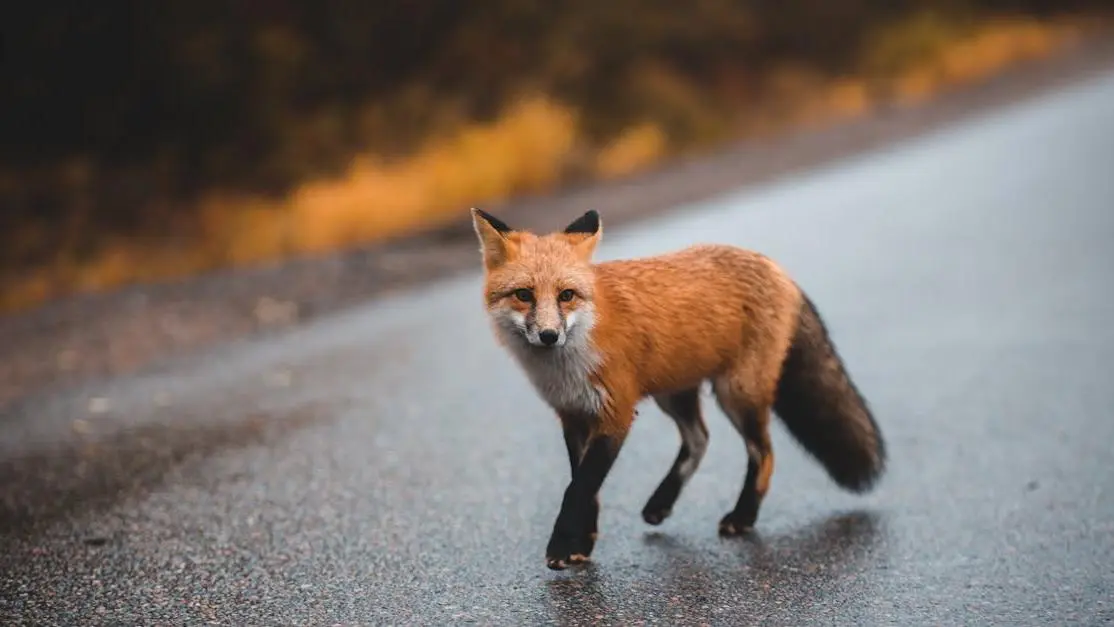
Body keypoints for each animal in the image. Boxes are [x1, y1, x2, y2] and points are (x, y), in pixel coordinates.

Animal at [469, 207, 886, 570]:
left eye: (566, 295)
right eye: (524, 295)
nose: (549, 335)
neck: (572, 359)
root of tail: (775, 267)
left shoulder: (616, 413)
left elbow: (579, 489)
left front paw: (561, 546)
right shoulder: (573, 415)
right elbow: (585, 487)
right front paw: (582, 543)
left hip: (737, 393)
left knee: (763, 453)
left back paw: (743, 516)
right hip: (674, 394)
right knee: (700, 439)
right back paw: (662, 502)